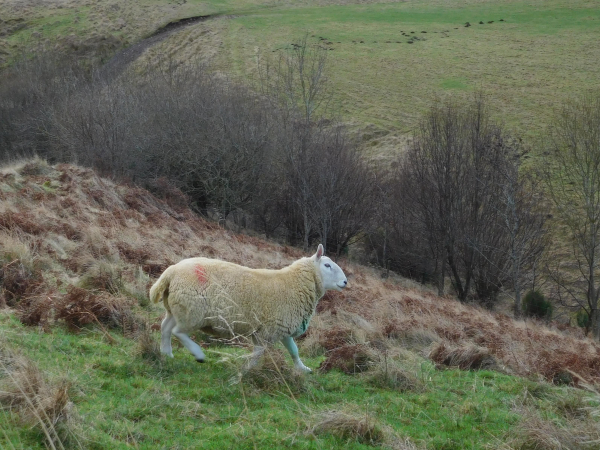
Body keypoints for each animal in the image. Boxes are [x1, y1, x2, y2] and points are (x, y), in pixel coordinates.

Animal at [149, 244, 346, 370]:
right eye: (327, 265)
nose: (345, 282)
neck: (295, 282)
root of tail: (170, 272)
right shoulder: (267, 330)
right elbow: (259, 353)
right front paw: (247, 369)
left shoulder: (282, 327)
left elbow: (294, 350)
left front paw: (303, 368)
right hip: (193, 311)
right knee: (178, 332)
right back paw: (198, 354)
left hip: (177, 308)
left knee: (165, 328)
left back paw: (167, 353)